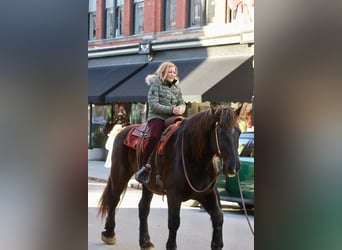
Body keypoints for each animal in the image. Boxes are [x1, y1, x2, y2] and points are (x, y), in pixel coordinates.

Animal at [97, 106, 242, 250]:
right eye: (220, 132)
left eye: (239, 132)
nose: (233, 167)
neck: (193, 157)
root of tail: (123, 130)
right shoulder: (174, 195)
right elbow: (174, 222)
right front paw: (171, 246)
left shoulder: (207, 193)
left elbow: (218, 216)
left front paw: (217, 244)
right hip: (120, 174)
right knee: (114, 200)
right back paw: (109, 234)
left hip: (148, 185)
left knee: (143, 208)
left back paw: (145, 242)